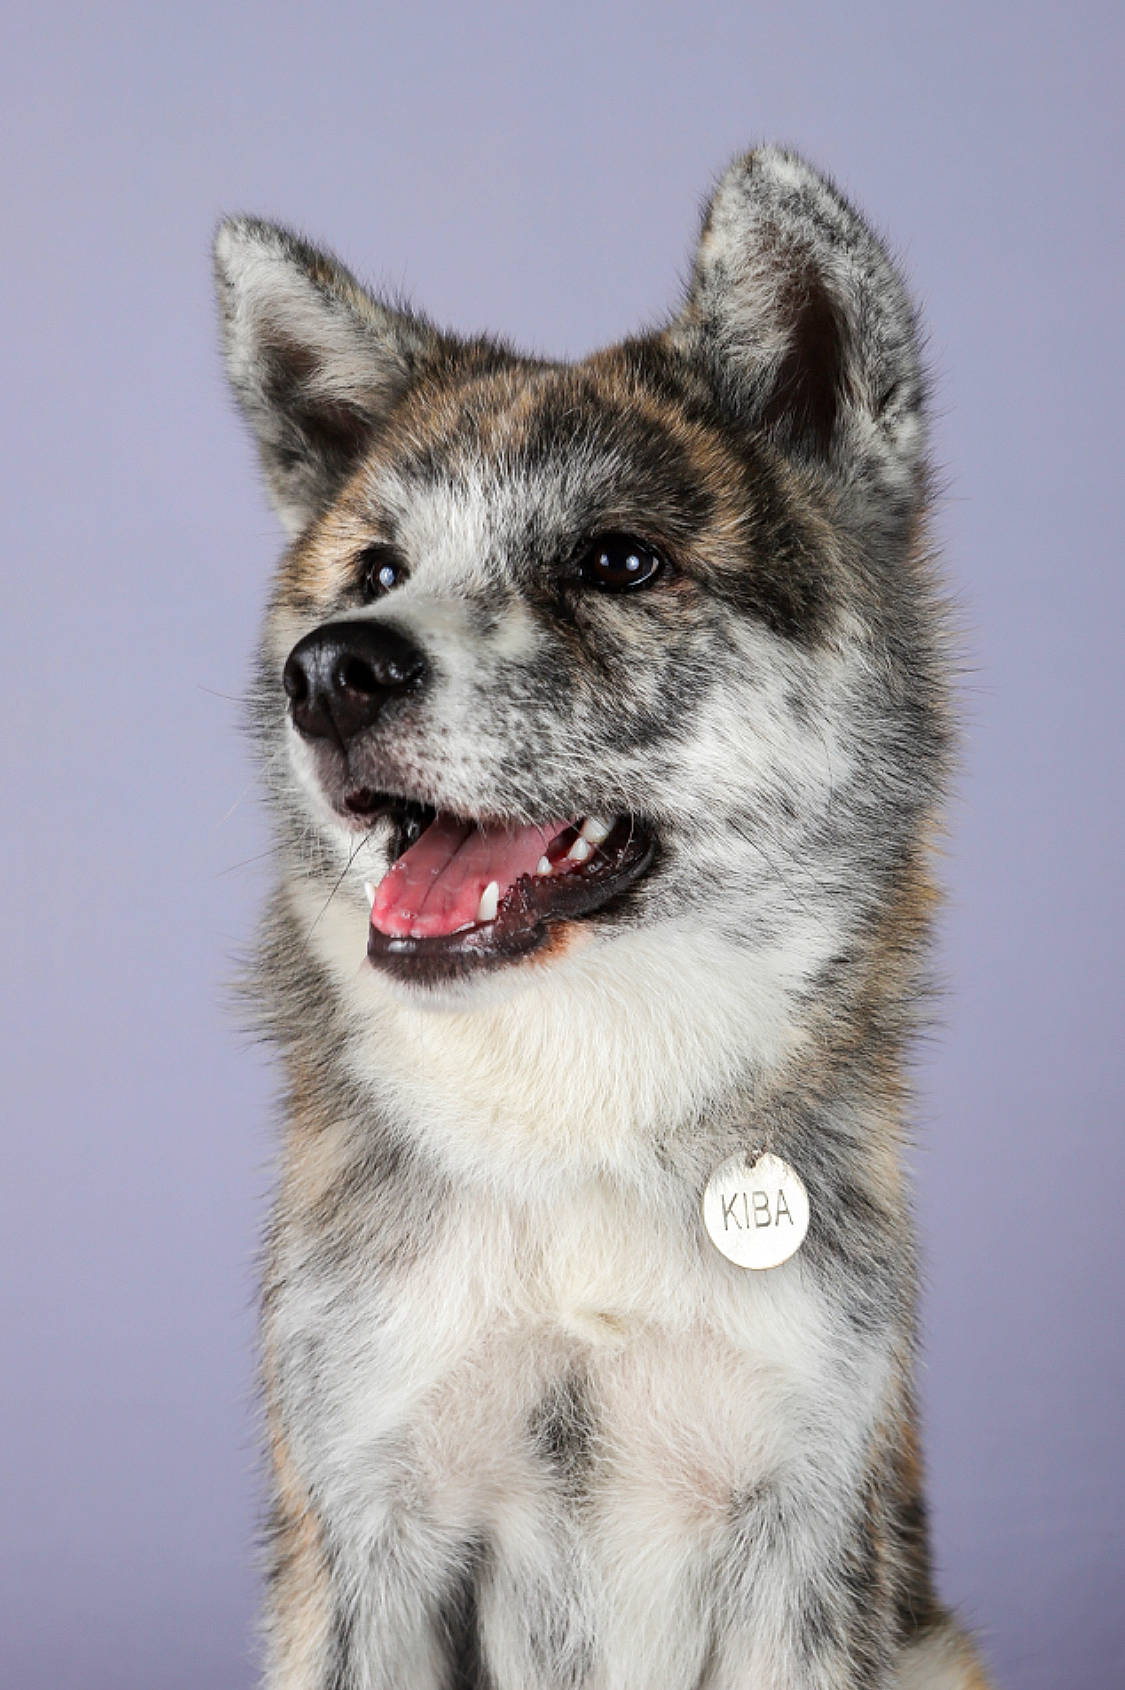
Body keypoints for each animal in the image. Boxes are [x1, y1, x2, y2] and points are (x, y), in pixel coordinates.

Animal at [215, 146, 993, 1689]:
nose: (327, 671)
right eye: (375, 571)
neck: (573, 1112)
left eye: (620, 563)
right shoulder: (371, 1524)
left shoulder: (797, 1536)